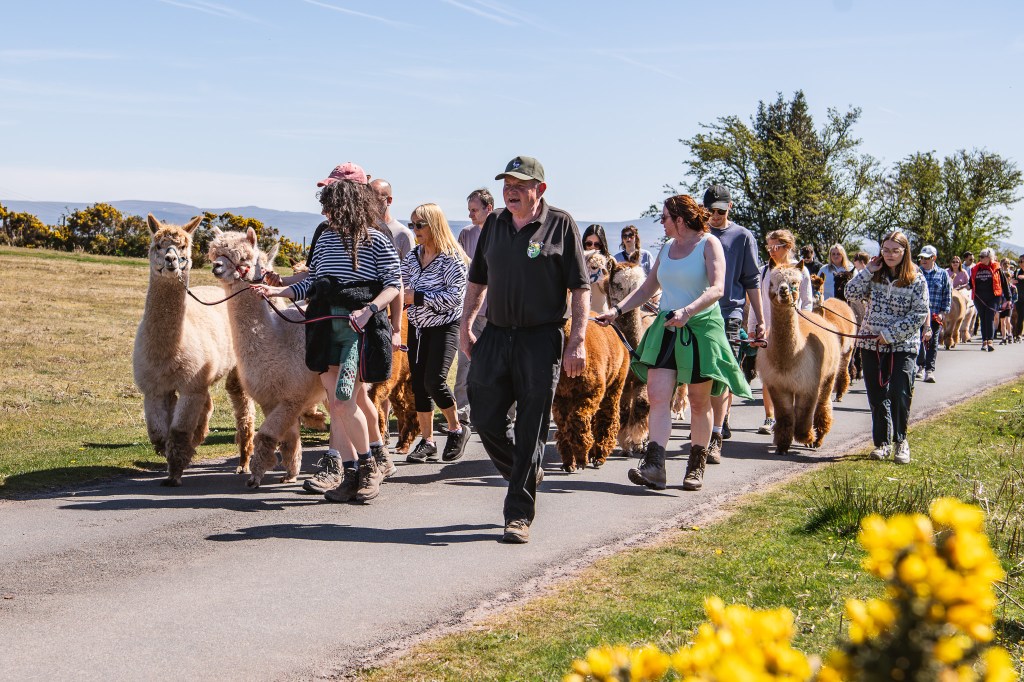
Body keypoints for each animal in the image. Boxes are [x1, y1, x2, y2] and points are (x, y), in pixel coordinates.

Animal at [133, 214, 255, 486]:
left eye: (183, 247)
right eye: (158, 245)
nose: (170, 260)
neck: (166, 354)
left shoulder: (189, 385)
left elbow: (178, 432)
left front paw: (174, 475)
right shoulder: (155, 388)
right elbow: (158, 433)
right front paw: (170, 457)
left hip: (236, 366)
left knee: (243, 409)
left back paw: (243, 462)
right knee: (207, 404)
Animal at [208, 228, 326, 487]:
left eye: (244, 258)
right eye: (216, 253)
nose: (216, 267)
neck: (277, 341)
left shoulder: (293, 395)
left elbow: (266, 435)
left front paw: (255, 475)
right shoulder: (270, 398)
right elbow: (289, 439)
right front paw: (290, 474)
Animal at [756, 267, 842, 454]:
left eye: (795, 282)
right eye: (772, 282)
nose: (783, 290)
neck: (789, 359)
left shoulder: (809, 384)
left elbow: (804, 415)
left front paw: (807, 438)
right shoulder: (777, 384)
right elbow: (785, 416)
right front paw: (782, 445)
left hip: (829, 374)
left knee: (823, 405)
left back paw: (819, 438)